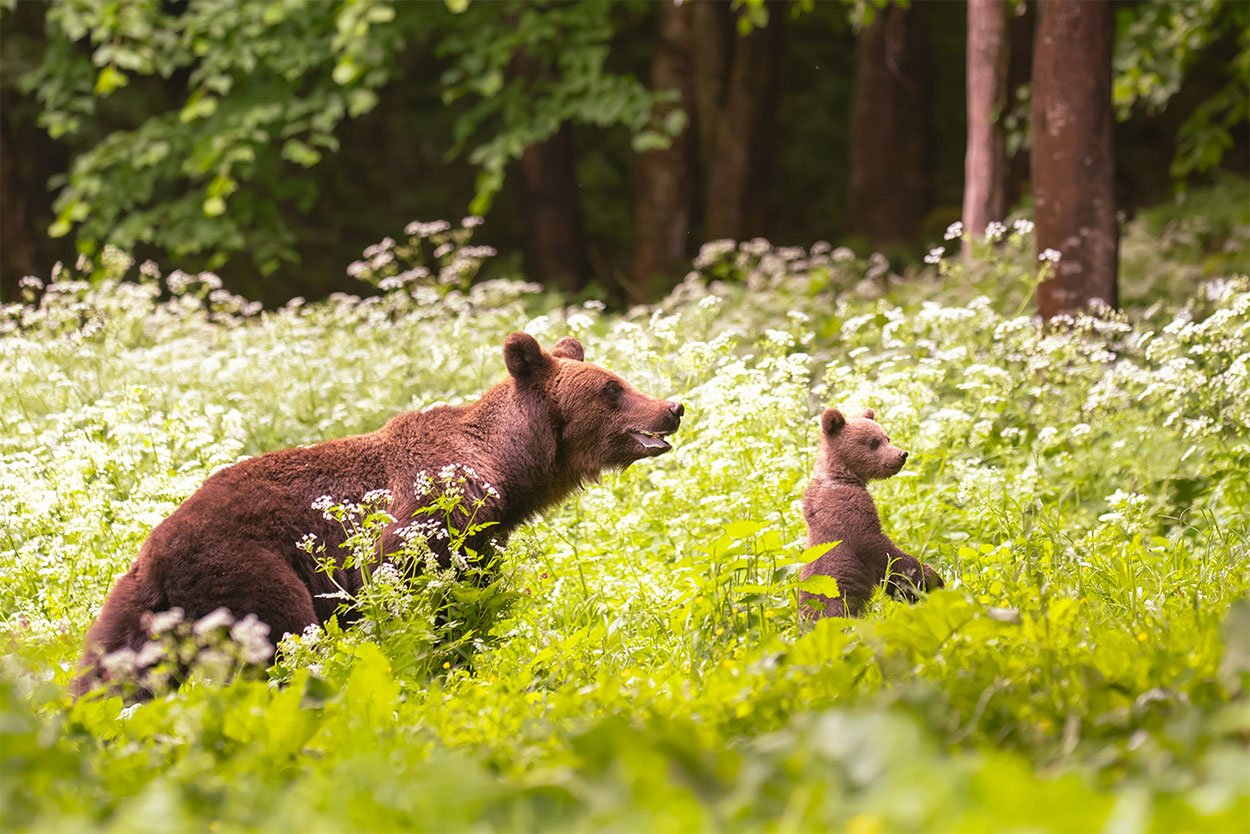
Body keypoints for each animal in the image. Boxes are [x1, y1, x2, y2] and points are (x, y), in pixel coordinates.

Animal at [75, 332, 685, 690]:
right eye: (612, 388)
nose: (672, 407)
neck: (508, 468)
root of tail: (158, 557)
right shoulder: (432, 511)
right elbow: (420, 593)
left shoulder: (483, 533)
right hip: (248, 573)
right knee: (281, 642)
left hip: (132, 609)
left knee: (108, 675)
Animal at [800, 405, 940, 620]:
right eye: (873, 442)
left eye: (887, 437)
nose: (902, 454)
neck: (842, 475)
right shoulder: (848, 510)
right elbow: (879, 549)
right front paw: (929, 579)